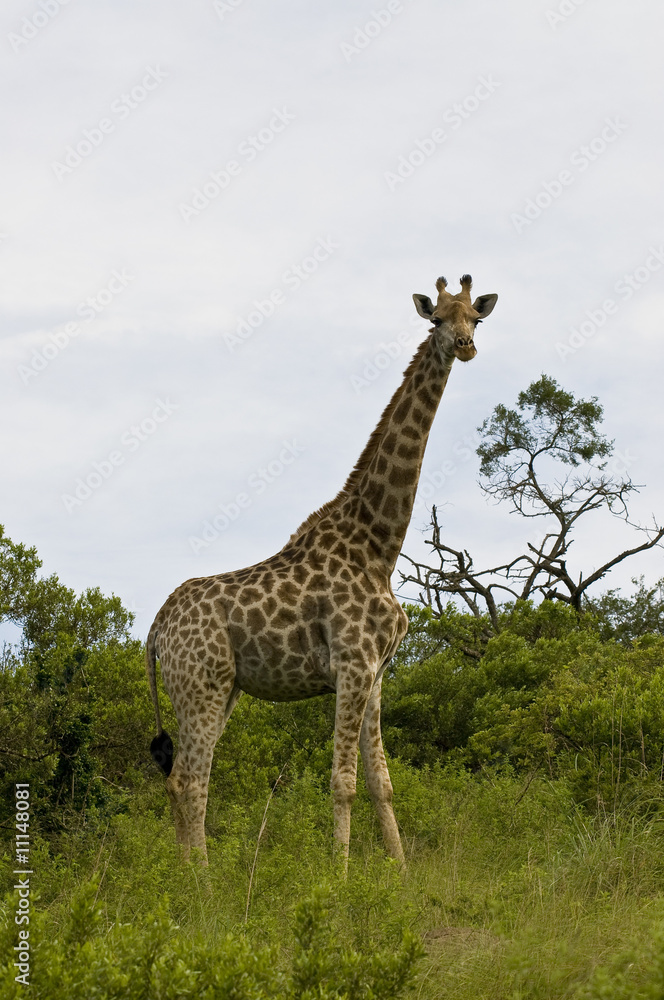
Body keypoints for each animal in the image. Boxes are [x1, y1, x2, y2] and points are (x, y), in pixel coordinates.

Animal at [146, 273, 498, 865]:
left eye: (475, 316)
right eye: (436, 319)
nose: (467, 346)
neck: (378, 546)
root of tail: (155, 629)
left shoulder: (377, 673)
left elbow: (382, 783)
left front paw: (400, 872)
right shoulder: (352, 667)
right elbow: (343, 783)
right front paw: (340, 874)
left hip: (221, 688)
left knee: (186, 780)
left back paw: (182, 873)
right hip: (201, 684)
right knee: (189, 780)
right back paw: (201, 881)